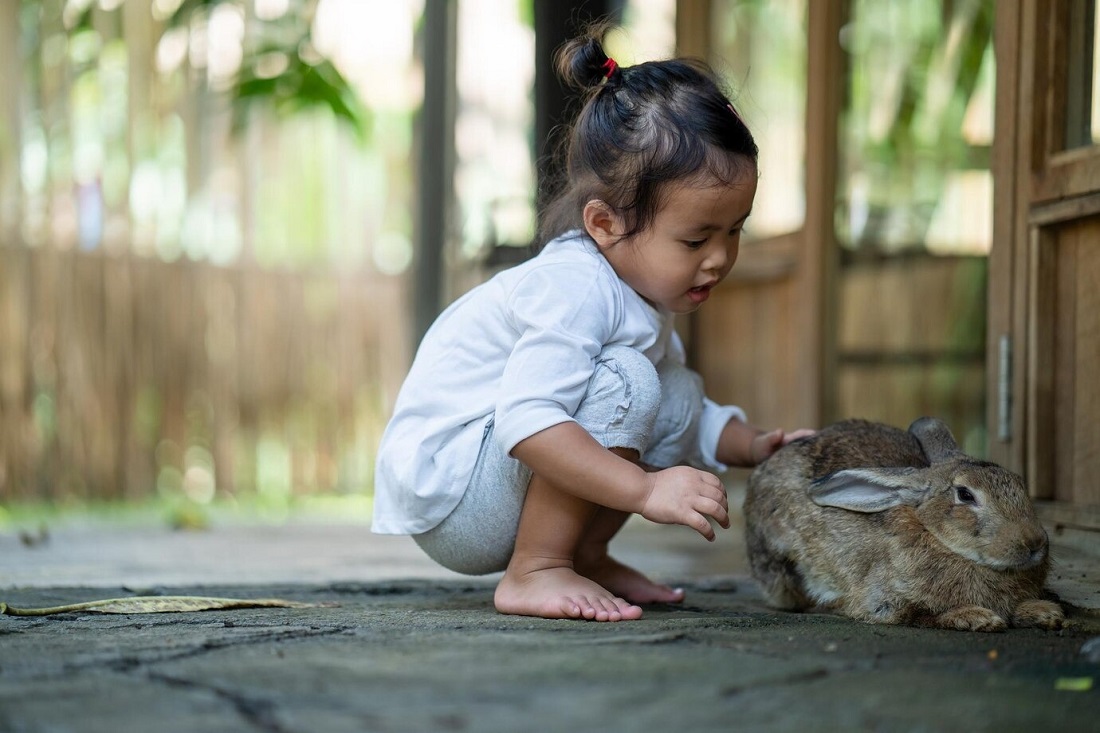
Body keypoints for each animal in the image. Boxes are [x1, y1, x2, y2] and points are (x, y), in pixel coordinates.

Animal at [743, 413, 1060, 629]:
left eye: (1018, 482)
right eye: (965, 495)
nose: (1034, 543)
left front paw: (1045, 612)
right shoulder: (885, 602)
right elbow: (920, 613)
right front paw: (977, 617)